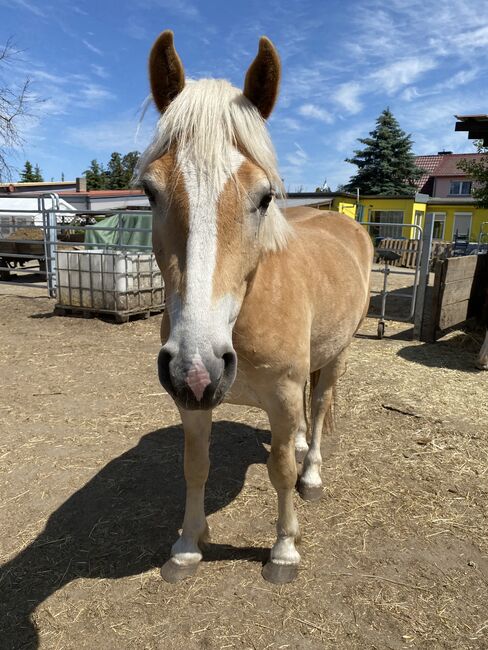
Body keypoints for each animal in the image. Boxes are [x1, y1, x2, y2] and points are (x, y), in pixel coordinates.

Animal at [137, 30, 374, 584]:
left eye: (265, 197)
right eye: (150, 191)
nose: (197, 366)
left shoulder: (283, 397)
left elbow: (281, 471)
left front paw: (284, 550)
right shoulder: (192, 403)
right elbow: (195, 466)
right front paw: (188, 545)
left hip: (337, 356)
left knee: (319, 406)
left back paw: (313, 473)